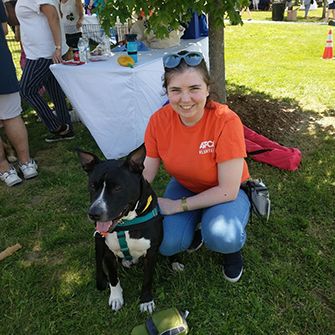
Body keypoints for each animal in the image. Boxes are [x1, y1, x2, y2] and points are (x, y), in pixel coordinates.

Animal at [78, 146, 164, 314]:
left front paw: (146, 301)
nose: (94, 213)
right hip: (98, 241)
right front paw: (116, 298)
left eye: (117, 188)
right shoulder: (108, 253)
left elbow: (147, 279)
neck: (127, 222)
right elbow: (113, 277)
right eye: (92, 186)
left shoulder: (151, 253)